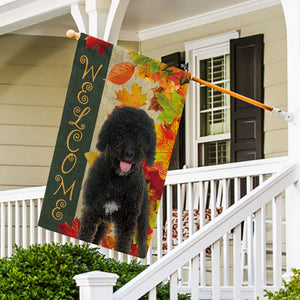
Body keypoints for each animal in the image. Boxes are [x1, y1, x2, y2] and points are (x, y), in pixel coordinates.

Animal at [77, 105, 156, 258]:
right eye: (121, 129)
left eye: (142, 136)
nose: (129, 153)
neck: (117, 182)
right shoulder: (91, 213)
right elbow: (85, 237)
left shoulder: (127, 221)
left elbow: (123, 248)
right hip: (103, 222)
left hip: (142, 218)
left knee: (142, 241)